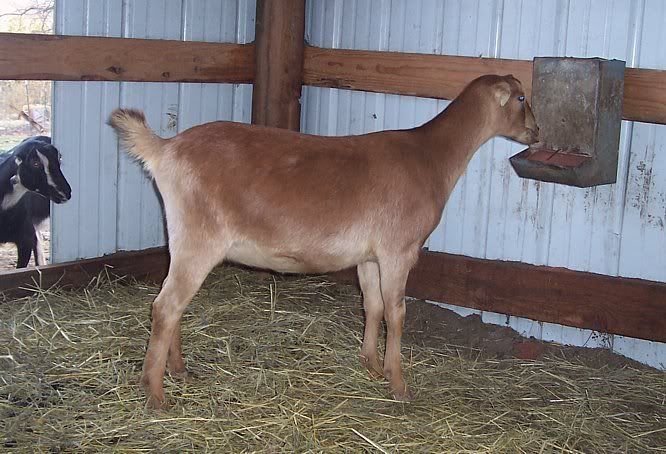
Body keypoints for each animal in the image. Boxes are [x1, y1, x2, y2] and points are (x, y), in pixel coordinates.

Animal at [110, 74, 539, 410]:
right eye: (521, 98)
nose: (536, 132)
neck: (430, 157)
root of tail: (167, 148)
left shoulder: (370, 256)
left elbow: (373, 306)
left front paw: (370, 365)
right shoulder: (398, 250)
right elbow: (397, 312)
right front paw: (398, 383)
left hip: (182, 240)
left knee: (173, 304)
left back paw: (179, 370)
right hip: (199, 239)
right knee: (165, 306)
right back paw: (155, 394)